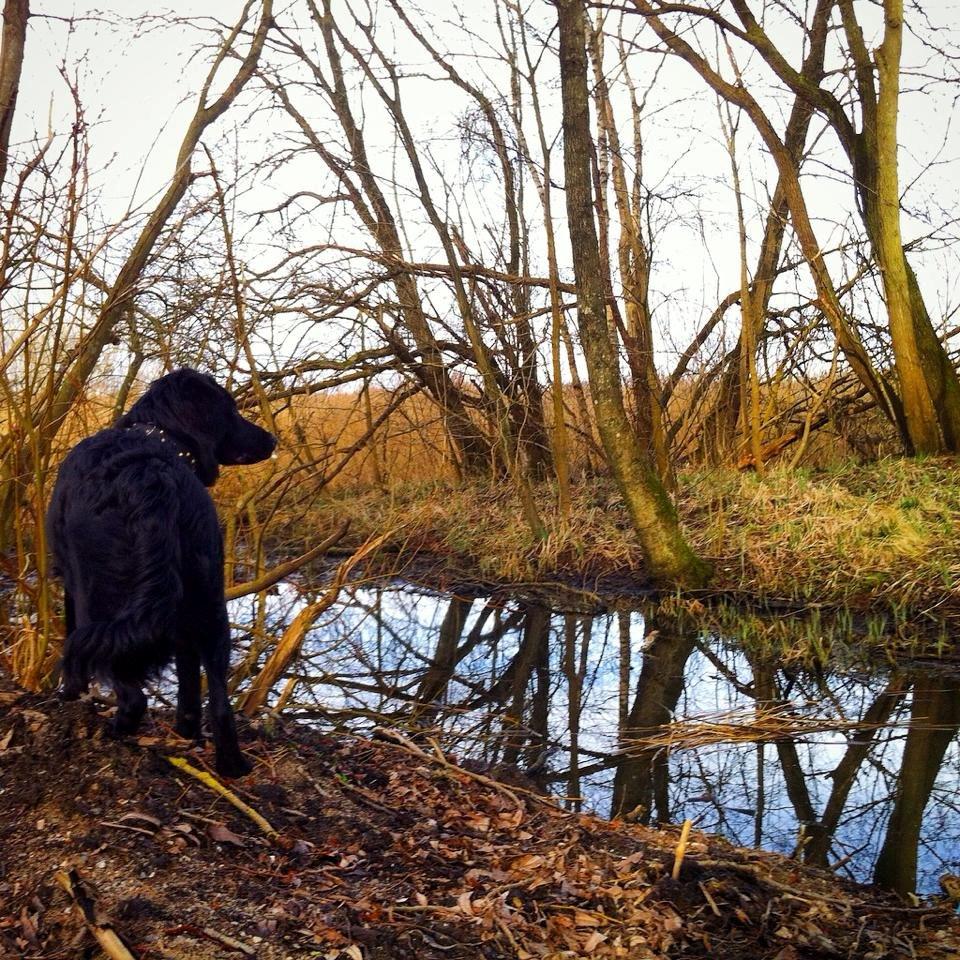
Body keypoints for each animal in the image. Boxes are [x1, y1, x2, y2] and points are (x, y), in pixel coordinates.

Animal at [47, 370, 276, 780]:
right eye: (231, 409)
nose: (272, 439)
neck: (158, 436)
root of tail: (148, 472)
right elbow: (189, 678)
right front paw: (187, 731)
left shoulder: (70, 585)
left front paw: (70, 694)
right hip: (209, 600)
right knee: (219, 699)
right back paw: (231, 765)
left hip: (99, 599)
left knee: (129, 690)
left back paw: (118, 729)